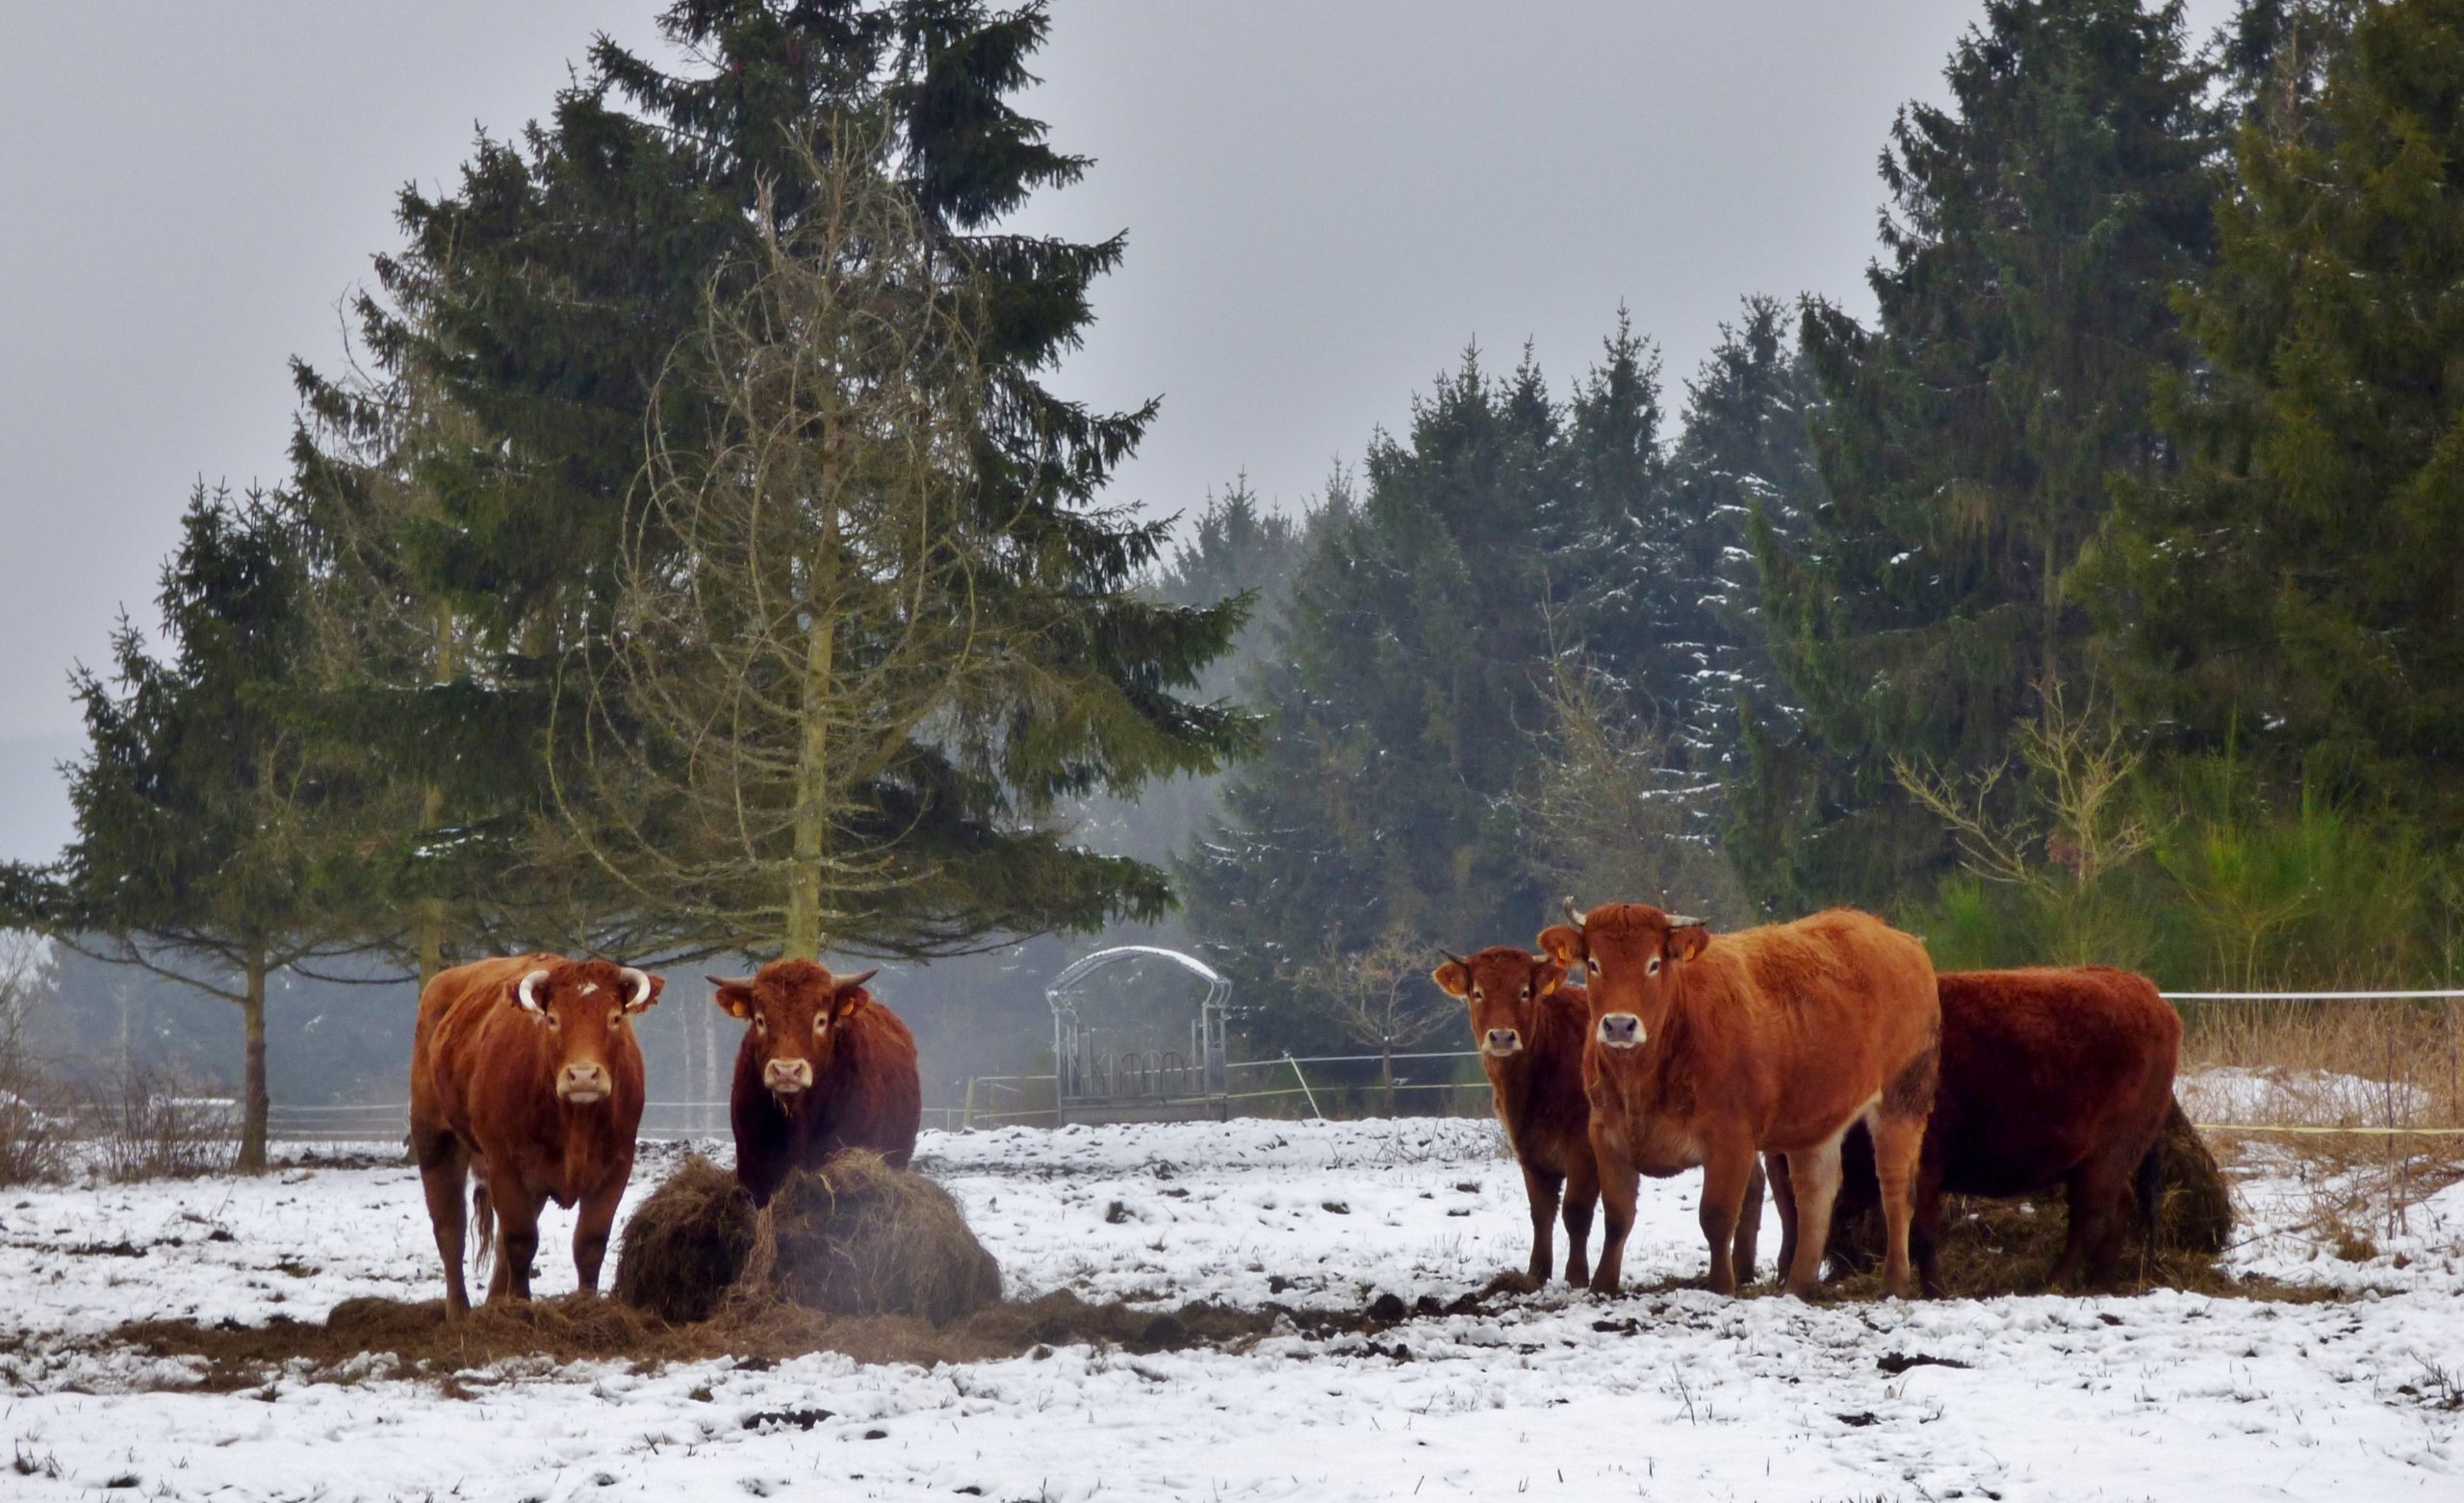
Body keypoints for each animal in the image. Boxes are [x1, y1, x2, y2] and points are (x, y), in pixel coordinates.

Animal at [411, 946, 665, 1311]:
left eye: (615, 1017)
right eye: (553, 1019)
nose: (583, 1076)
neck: (576, 1123)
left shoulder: (616, 1167)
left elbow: (589, 1245)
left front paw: (586, 1309)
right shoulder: (505, 1164)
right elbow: (520, 1242)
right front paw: (521, 1310)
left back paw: (495, 1303)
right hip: (434, 1137)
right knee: (450, 1230)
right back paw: (459, 1313)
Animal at [1537, 897, 1941, 1290]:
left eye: (1653, 964)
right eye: (1593, 964)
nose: (1620, 1024)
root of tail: (1895, 937)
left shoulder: (1731, 1140)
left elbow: (1716, 1217)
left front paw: (1720, 1286)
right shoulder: (1606, 1135)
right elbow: (1617, 1217)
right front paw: (1601, 1286)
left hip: (1903, 1098)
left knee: (1895, 1189)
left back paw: (1894, 1283)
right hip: (1815, 1120)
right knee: (1816, 1192)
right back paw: (1798, 1286)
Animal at [1763, 965, 2188, 1290]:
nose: (1786, 1271)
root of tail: (2151, 998)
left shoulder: (1925, 1168)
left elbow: (1922, 1233)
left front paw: (1935, 1289)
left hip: (2106, 1160)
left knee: (2091, 1220)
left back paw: (2053, 1283)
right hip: (2100, 1165)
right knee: (2116, 1210)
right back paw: (2101, 1281)